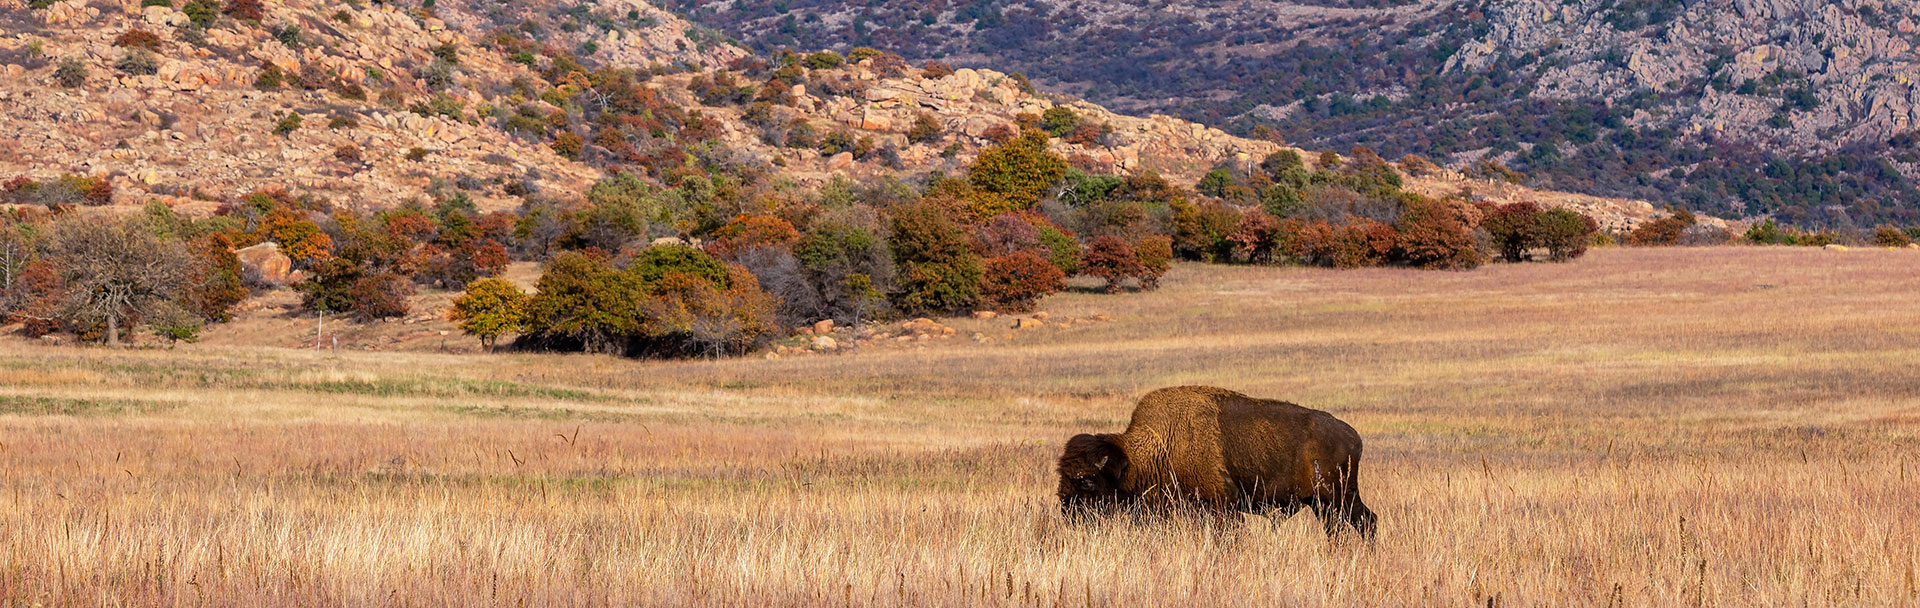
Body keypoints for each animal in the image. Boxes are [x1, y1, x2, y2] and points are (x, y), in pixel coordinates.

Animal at [1059, 385, 1374, 537]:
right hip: (1323, 504)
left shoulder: (1223, 507)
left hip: (1340, 497)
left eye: (1087, 480)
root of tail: (1352, 436)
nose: (1067, 512)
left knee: (1367, 521)